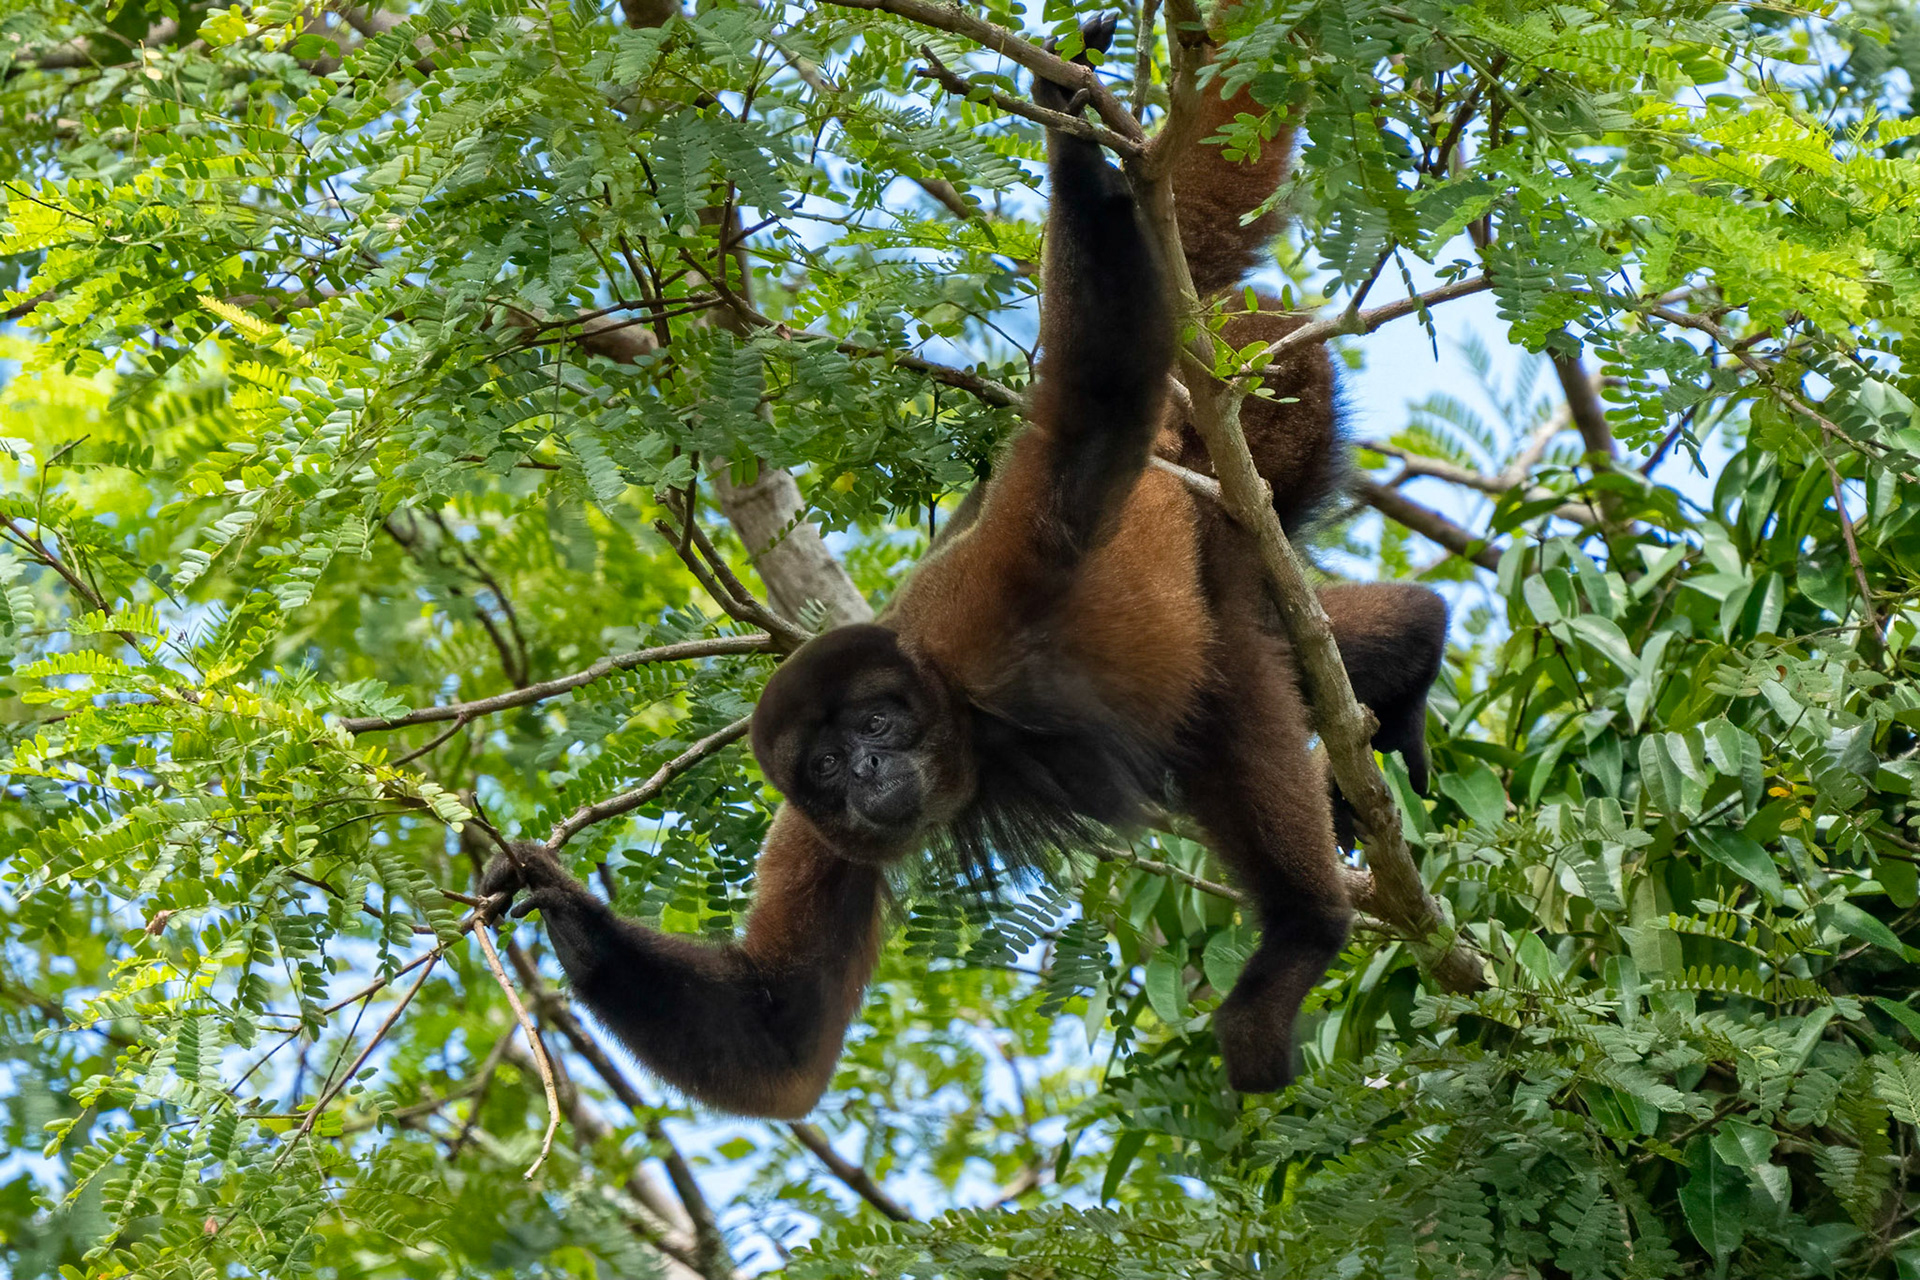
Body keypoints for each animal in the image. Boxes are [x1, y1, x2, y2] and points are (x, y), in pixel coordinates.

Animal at [482, 15, 1450, 1118]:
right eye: (823, 766)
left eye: (873, 724)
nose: (864, 770)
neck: (958, 717)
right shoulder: (814, 828)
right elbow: (779, 1030)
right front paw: (561, 906)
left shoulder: (981, 610)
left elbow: (1087, 412)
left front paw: (1068, 134)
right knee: (1296, 649)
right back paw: (1411, 654)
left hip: (1269, 398)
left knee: (1228, 690)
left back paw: (1301, 932)